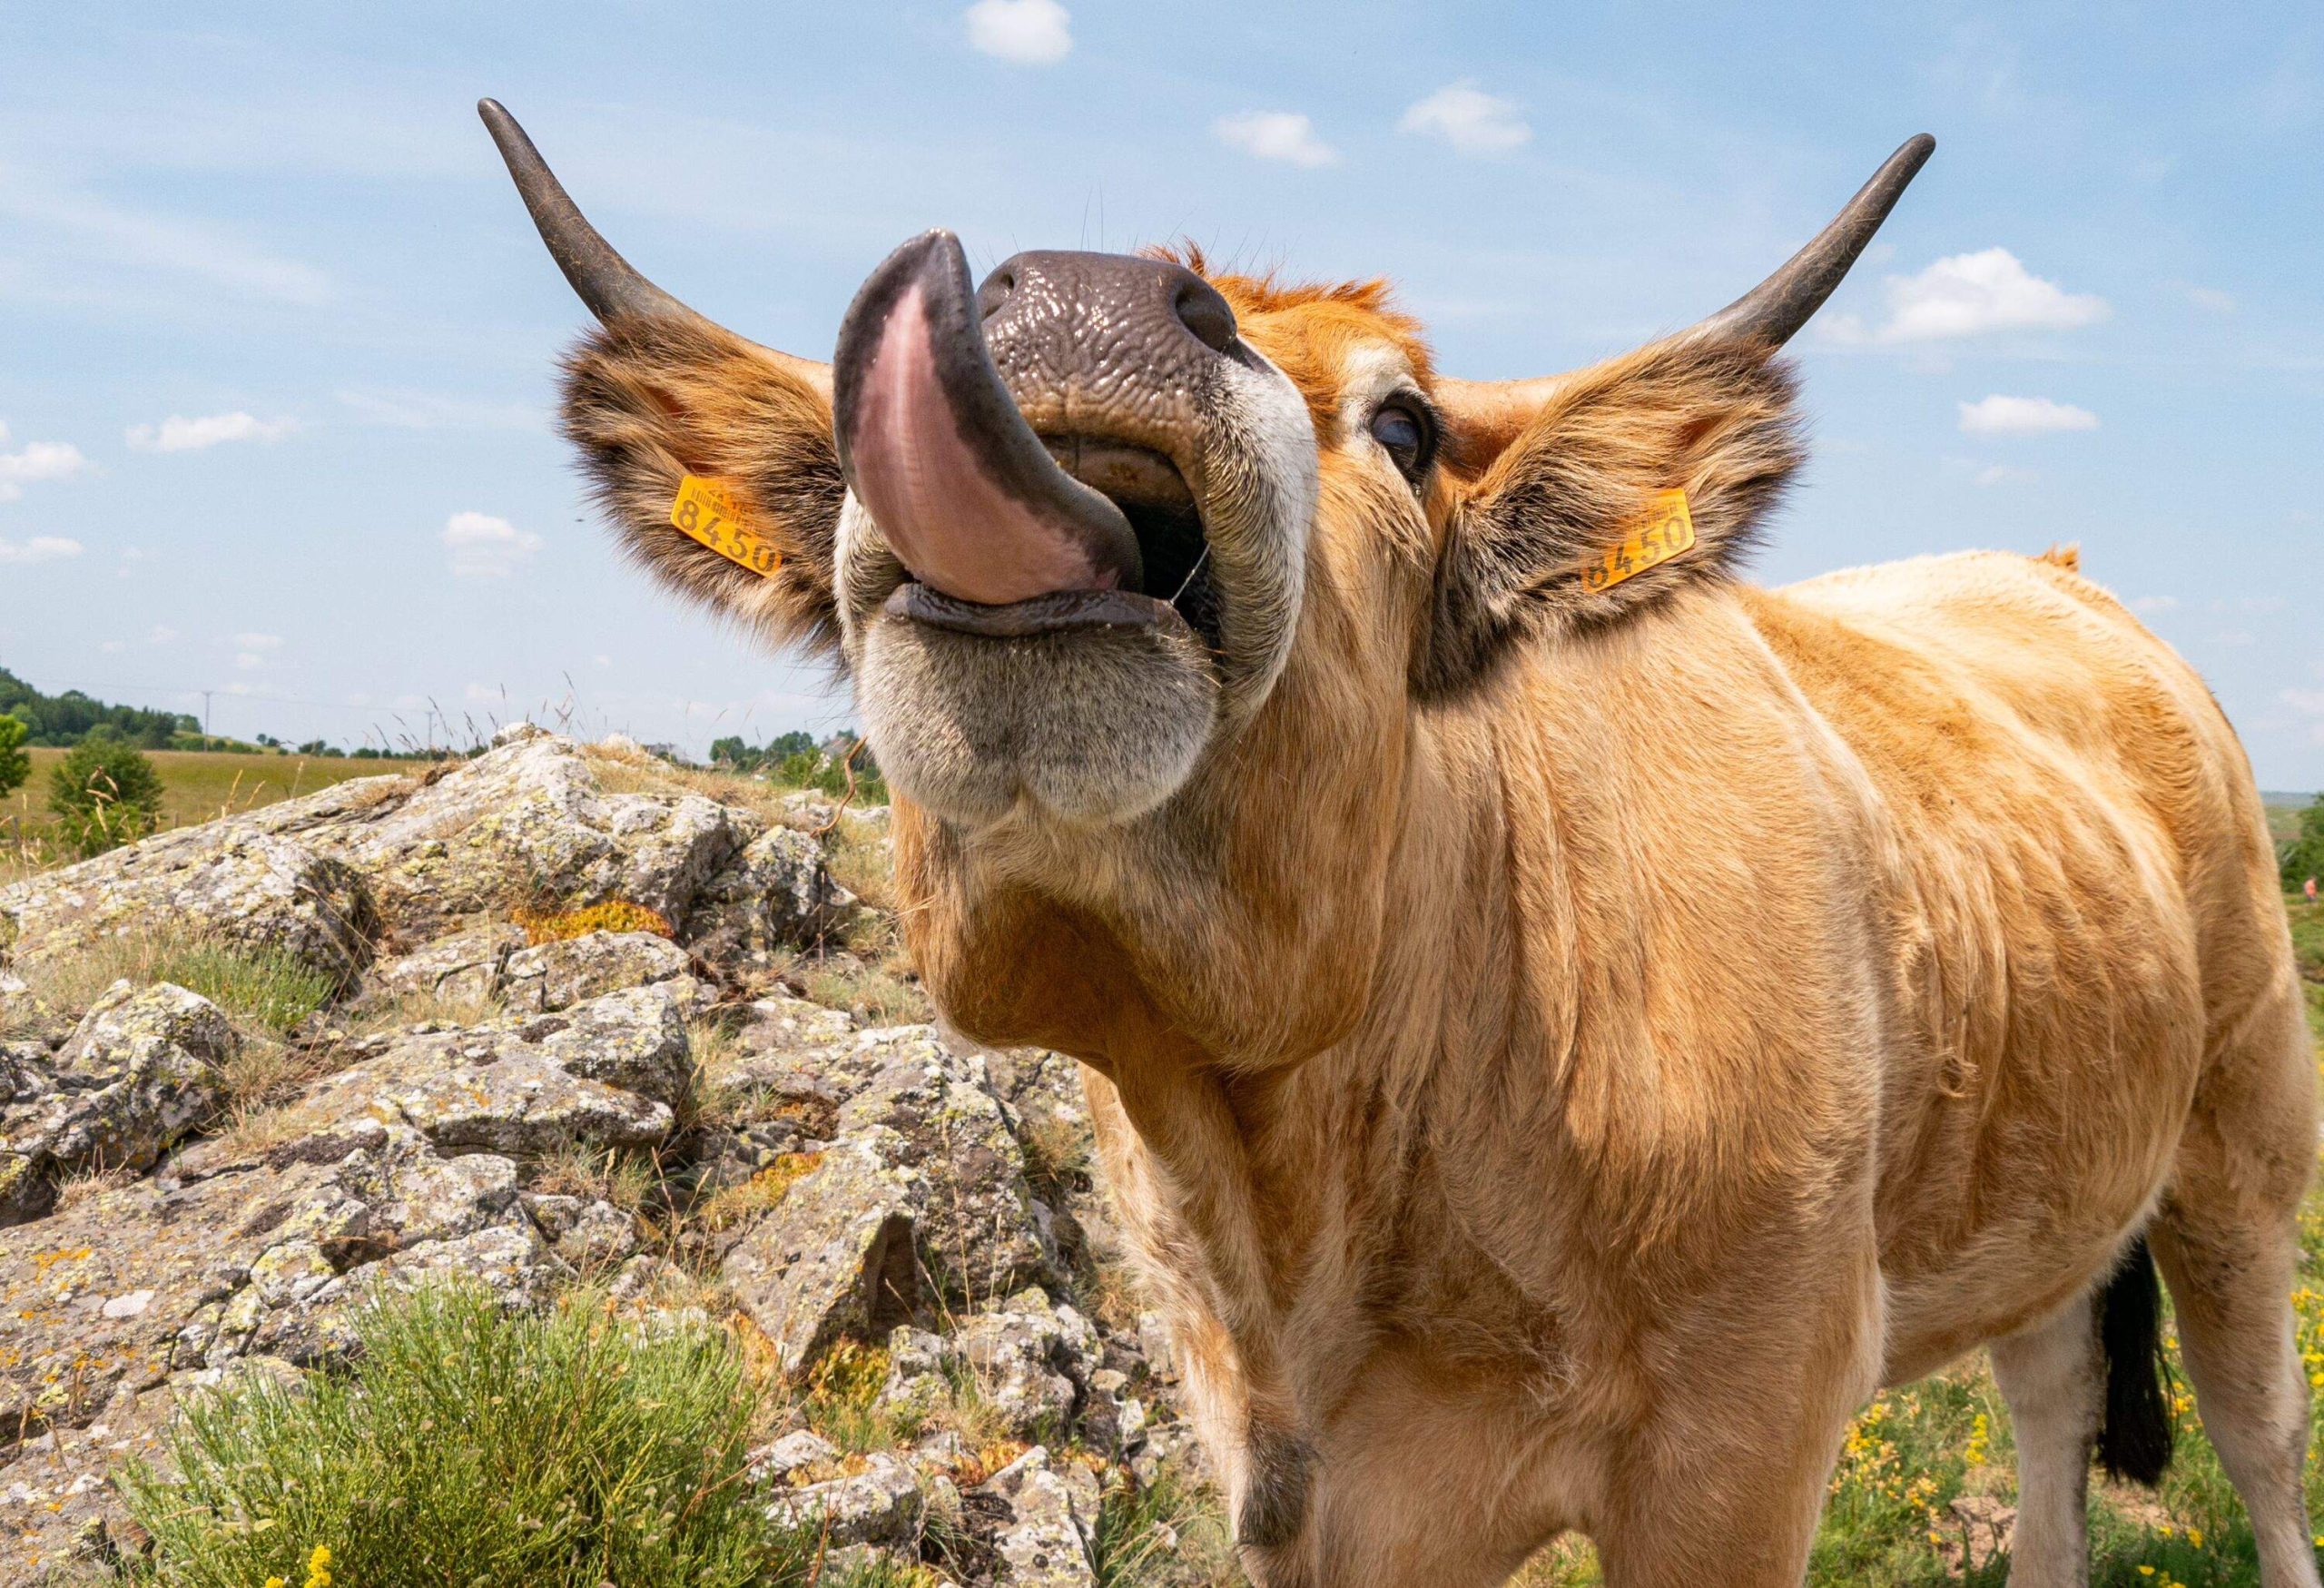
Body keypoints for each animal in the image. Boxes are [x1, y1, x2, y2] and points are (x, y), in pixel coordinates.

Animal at [480, 102, 2314, 1588]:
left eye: (1410, 426)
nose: (1077, 293)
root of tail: (2048, 570)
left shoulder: (1750, 1426)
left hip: (2243, 1142)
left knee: (2259, 1442)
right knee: (2052, 1397)